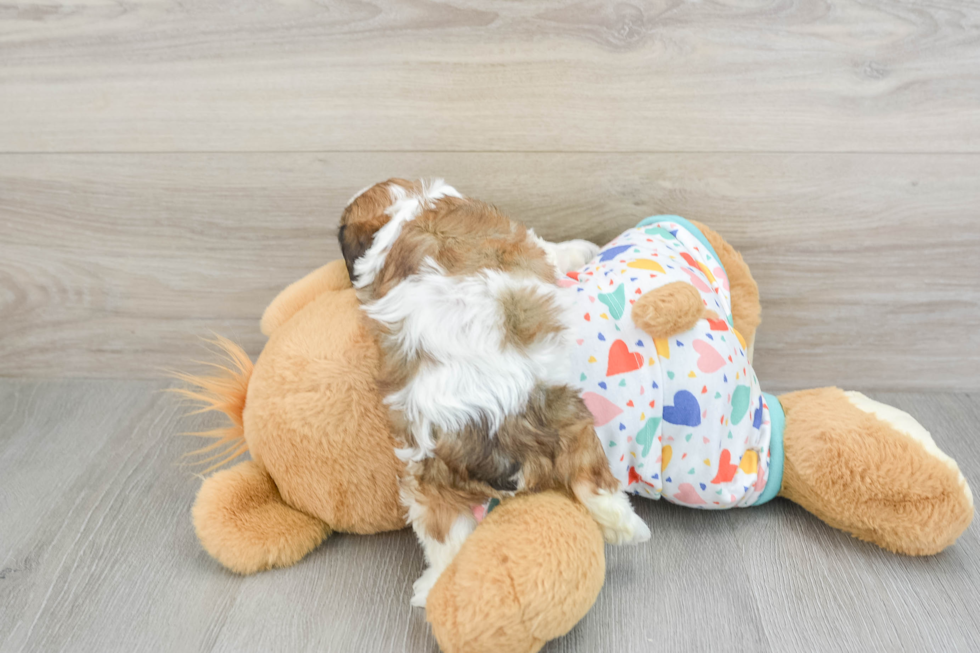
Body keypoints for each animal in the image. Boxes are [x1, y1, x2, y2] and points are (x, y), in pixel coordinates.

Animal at [336, 178, 652, 608]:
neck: (407, 209)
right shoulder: (532, 243)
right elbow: (553, 251)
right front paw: (581, 248)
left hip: (430, 480)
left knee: (444, 537)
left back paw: (430, 588)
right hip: (568, 418)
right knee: (593, 481)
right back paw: (629, 527)